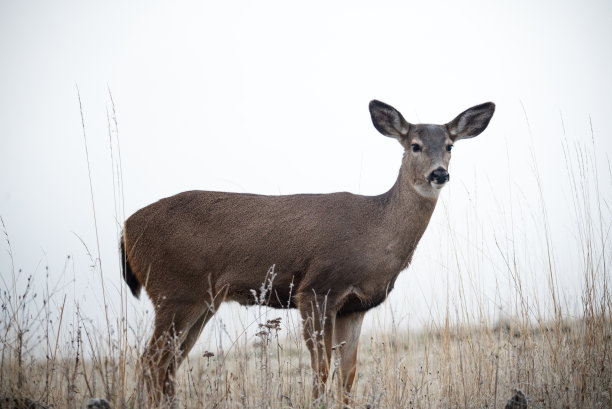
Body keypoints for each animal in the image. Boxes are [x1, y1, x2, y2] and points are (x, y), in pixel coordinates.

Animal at [119, 99, 492, 404]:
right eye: (415, 145)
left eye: (449, 145)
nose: (439, 173)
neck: (375, 232)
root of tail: (125, 228)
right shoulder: (316, 290)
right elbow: (321, 370)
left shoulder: (354, 307)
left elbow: (348, 375)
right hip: (173, 291)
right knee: (150, 362)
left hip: (202, 301)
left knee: (168, 365)